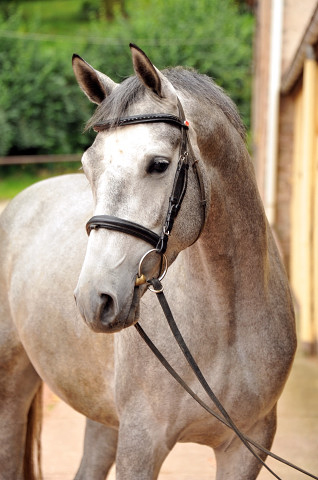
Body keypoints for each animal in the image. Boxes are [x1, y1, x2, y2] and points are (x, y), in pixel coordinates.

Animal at [0, 45, 296, 480]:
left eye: (158, 164)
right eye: (88, 167)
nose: (95, 299)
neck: (228, 319)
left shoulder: (248, 446)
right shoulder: (141, 443)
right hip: (12, 386)